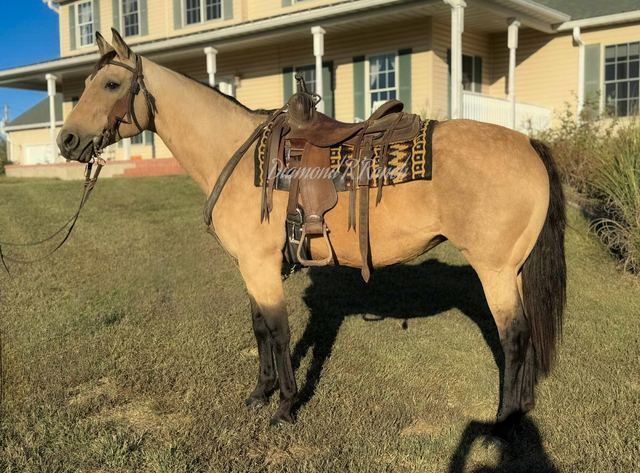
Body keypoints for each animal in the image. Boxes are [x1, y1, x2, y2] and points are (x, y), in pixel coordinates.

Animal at [57, 29, 566, 435]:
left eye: (111, 83)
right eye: (85, 84)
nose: (66, 140)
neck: (238, 156)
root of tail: (528, 144)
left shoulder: (261, 266)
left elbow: (280, 332)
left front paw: (284, 407)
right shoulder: (252, 268)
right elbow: (260, 327)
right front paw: (259, 393)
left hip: (495, 270)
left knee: (514, 337)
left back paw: (504, 420)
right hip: (514, 270)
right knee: (525, 335)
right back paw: (523, 408)